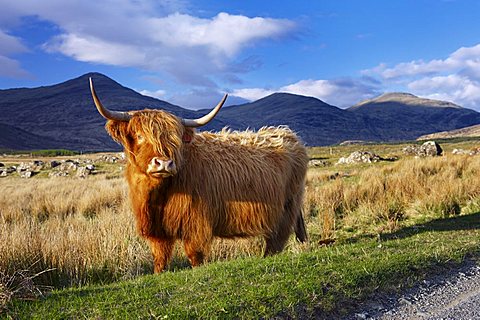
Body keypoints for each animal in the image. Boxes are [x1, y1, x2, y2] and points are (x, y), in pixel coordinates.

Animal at [89, 78, 308, 272]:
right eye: (140, 136)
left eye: (175, 139)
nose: (164, 163)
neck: (158, 195)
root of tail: (289, 136)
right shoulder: (158, 230)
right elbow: (160, 260)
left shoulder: (196, 224)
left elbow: (195, 257)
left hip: (286, 209)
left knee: (275, 242)